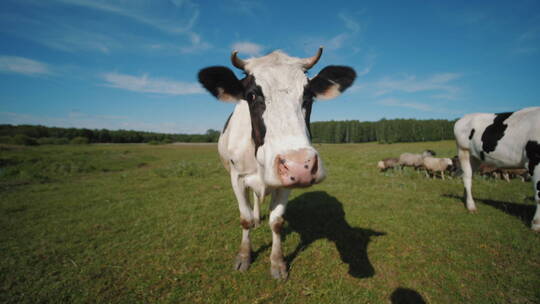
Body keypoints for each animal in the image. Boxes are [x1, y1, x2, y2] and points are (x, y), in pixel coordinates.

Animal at [196, 47, 356, 278]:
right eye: (252, 95)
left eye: (308, 95)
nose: (300, 165)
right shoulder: (237, 177)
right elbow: (244, 218)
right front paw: (244, 256)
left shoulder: (286, 184)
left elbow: (277, 222)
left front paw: (277, 262)